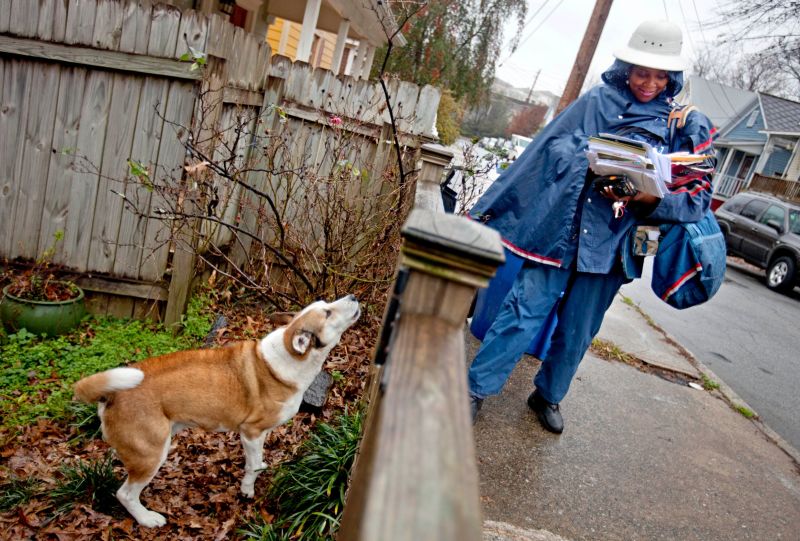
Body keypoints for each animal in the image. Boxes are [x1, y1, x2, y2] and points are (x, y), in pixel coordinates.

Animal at [72, 294, 360, 524]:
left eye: (326, 305)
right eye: (327, 313)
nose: (354, 296)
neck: (289, 357)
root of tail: (110, 394)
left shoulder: (259, 434)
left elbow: (256, 461)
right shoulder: (250, 431)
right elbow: (251, 468)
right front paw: (247, 490)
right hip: (151, 455)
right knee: (125, 494)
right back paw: (147, 520)